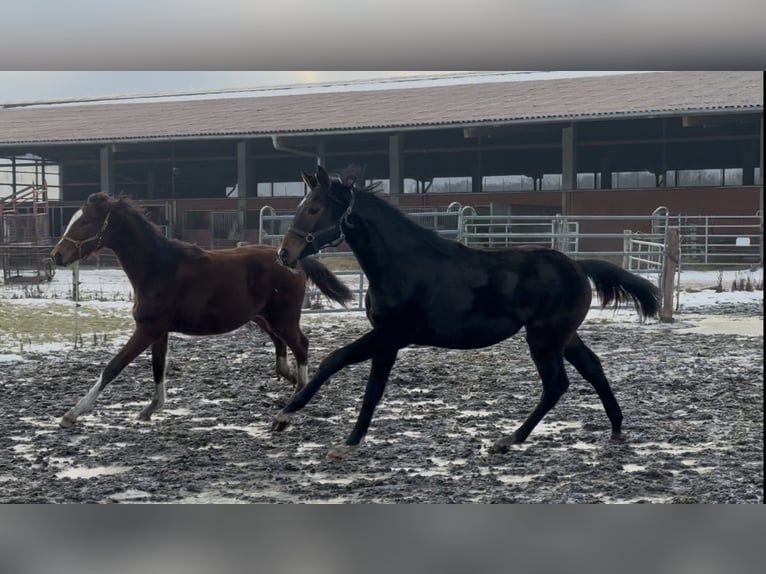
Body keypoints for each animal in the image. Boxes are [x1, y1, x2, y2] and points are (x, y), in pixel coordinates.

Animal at [50, 192, 352, 428]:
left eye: (86, 221)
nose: (57, 255)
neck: (159, 268)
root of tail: (294, 261)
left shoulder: (147, 329)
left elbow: (113, 367)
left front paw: (72, 413)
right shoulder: (159, 331)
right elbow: (158, 367)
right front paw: (152, 408)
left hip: (284, 319)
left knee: (301, 345)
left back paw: (295, 398)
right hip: (264, 318)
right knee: (283, 347)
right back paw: (289, 379)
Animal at [273, 165, 660, 460]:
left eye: (314, 208)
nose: (284, 254)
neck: (403, 264)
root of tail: (579, 266)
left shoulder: (391, 333)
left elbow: (335, 359)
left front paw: (287, 414)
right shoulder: (388, 340)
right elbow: (373, 390)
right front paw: (351, 440)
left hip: (544, 338)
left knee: (556, 384)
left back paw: (508, 440)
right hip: (563, 336)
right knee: (593, 368)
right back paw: (615, 428)